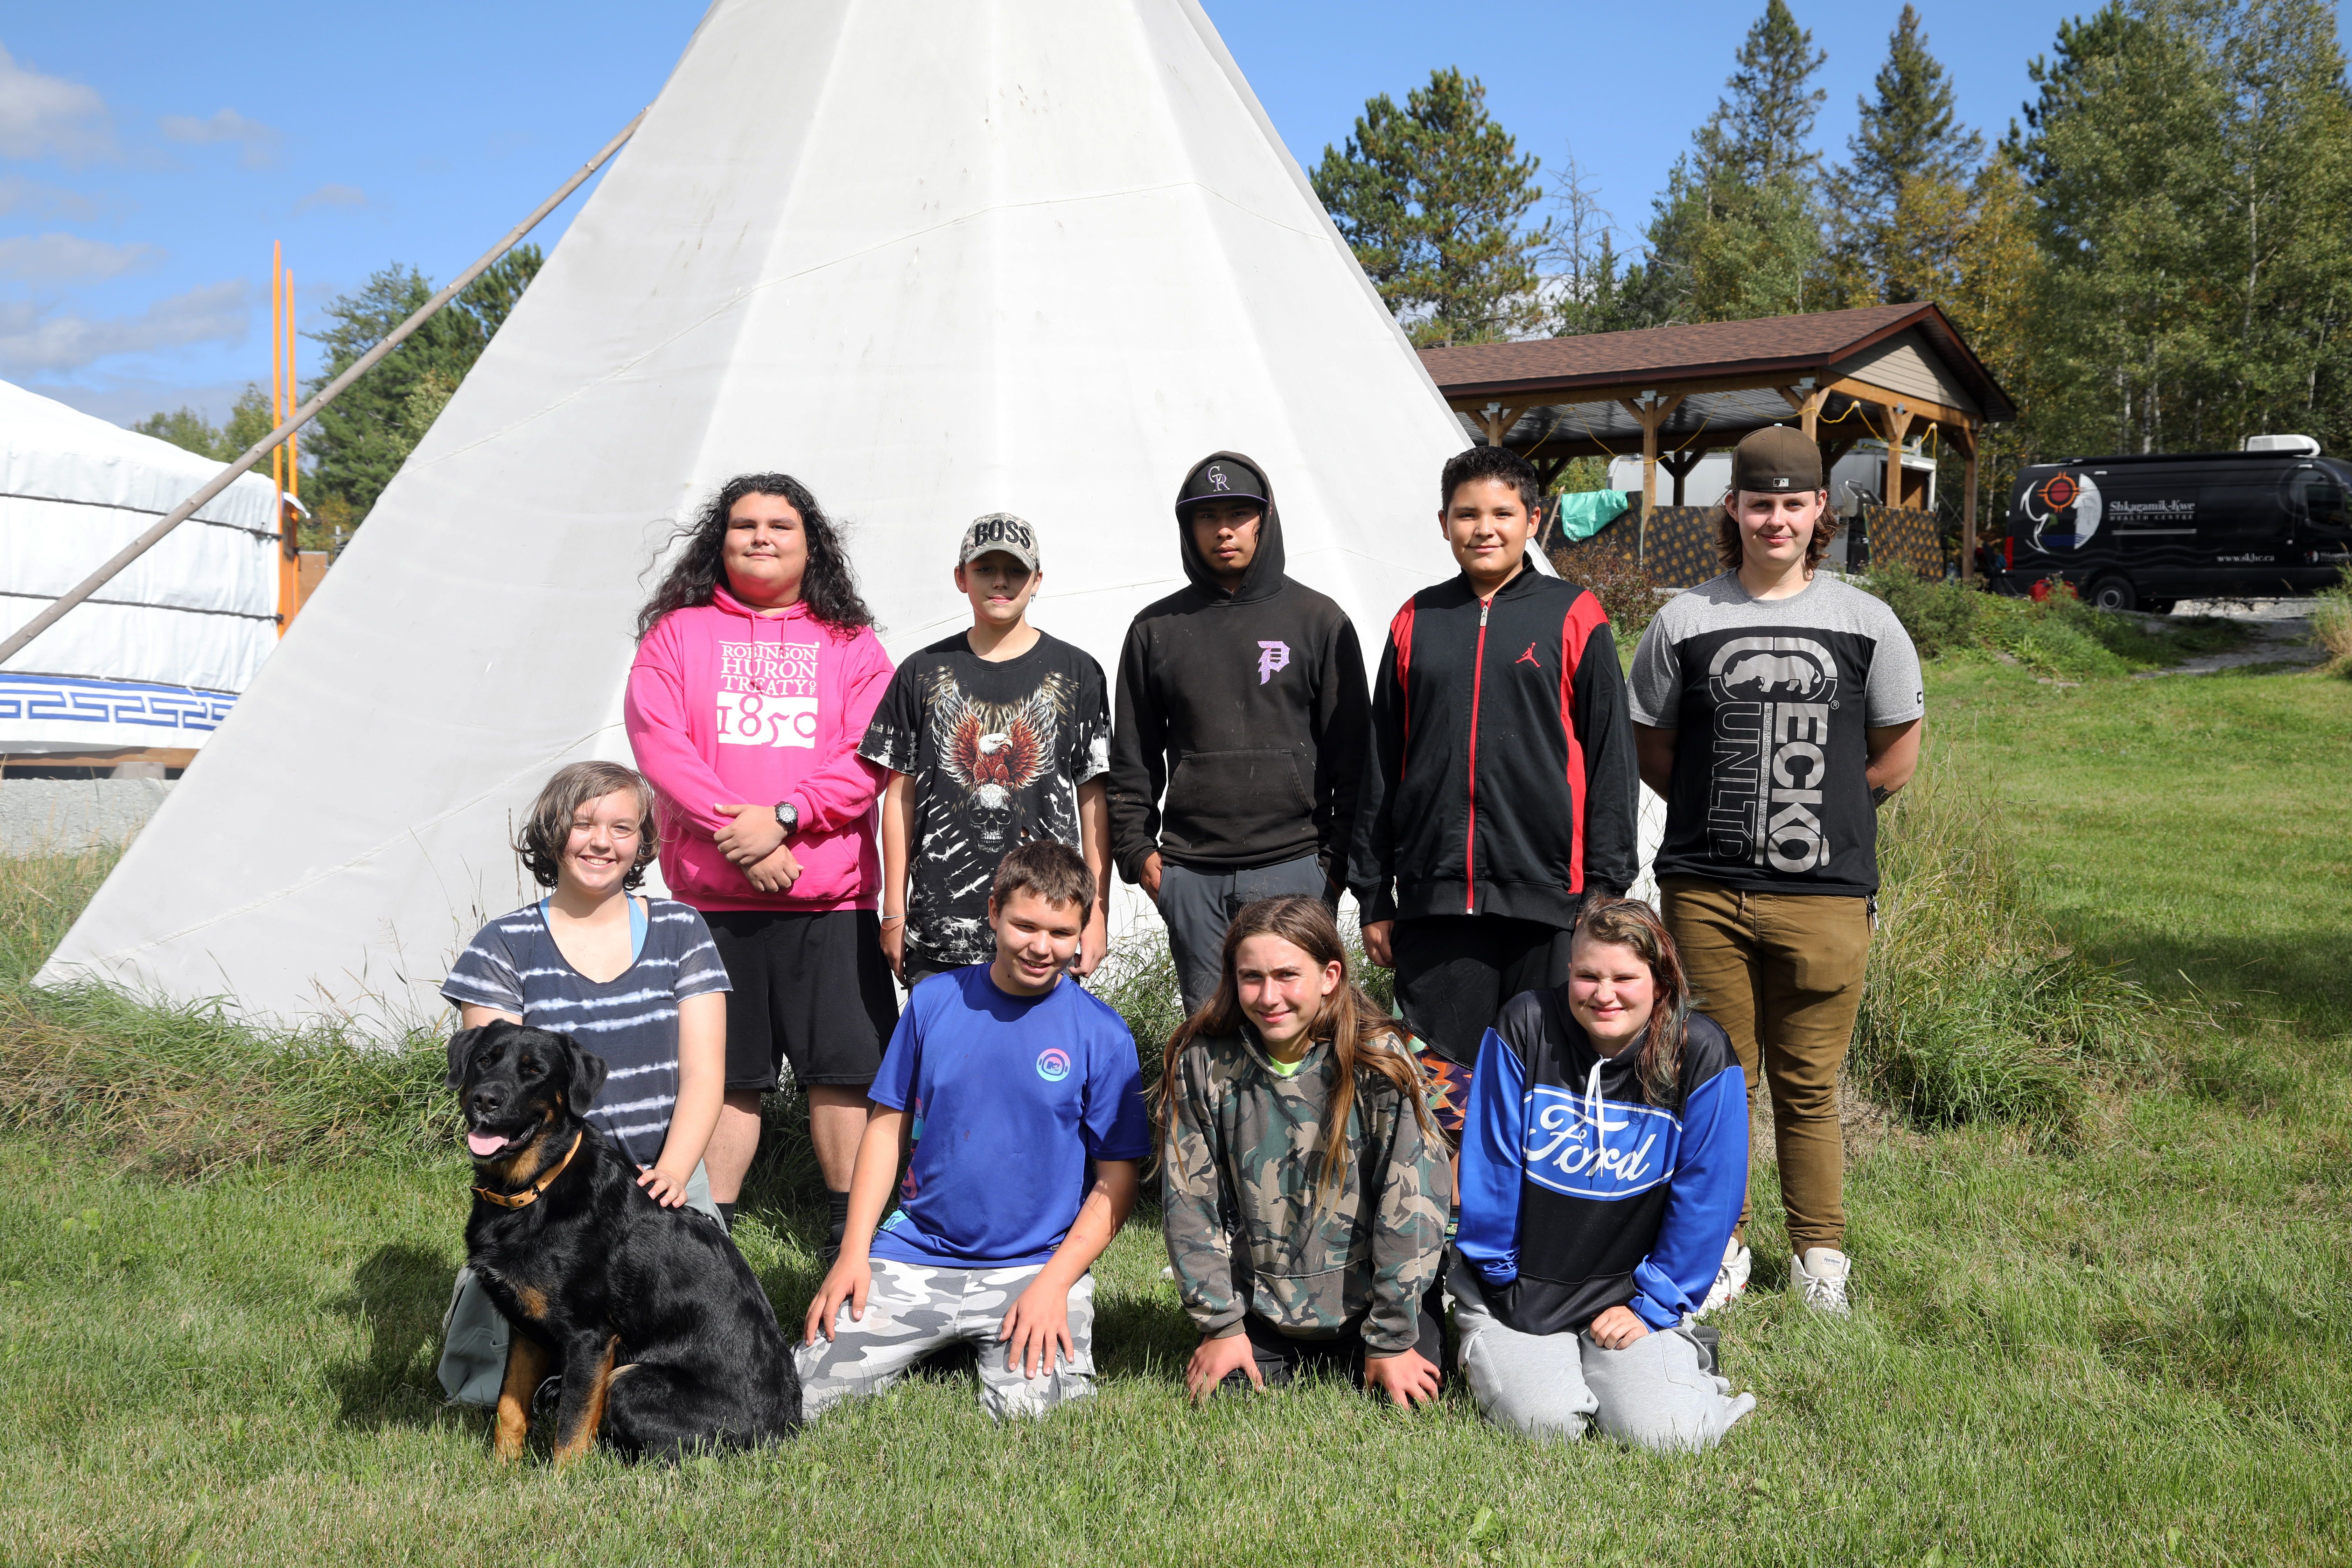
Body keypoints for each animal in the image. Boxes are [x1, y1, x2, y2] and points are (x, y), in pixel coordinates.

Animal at [444, 1025, 804, 1467]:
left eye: (535, 1071)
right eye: (483, 1060)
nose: (485, 1099)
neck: (534, 1189)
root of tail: (783, 1433)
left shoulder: (590, 1339)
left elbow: (571, 1431)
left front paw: (560, 1481)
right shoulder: (526, 1331)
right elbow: (509, 1408)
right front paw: (502, 1470)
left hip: (629, 1381)